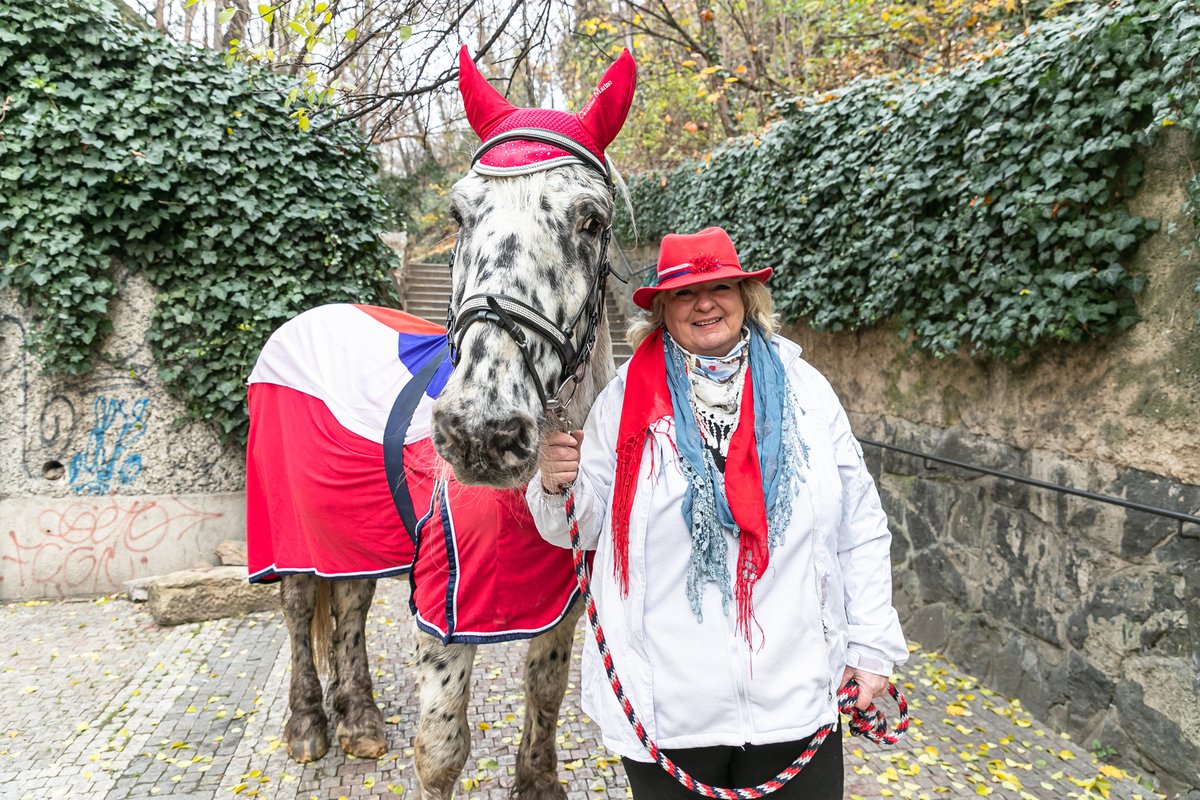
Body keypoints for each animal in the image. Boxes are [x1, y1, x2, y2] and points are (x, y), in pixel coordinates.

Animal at [243, 47, 638, 796]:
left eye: (592, 219)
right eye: (458, 214)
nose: (482, 433)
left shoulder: (561, 598)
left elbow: (545, 693)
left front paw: (536, 779)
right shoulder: (444, 603)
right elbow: (441, 750)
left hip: (357, 533)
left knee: (351, 606)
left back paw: (361, 719)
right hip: (291, 527)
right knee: (299, 606)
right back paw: (309, 725)